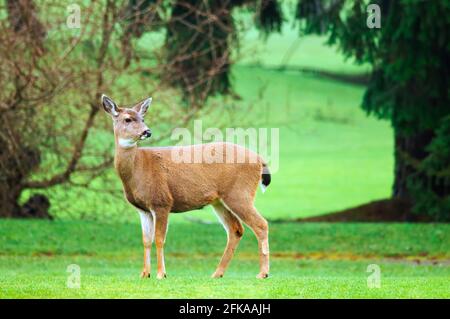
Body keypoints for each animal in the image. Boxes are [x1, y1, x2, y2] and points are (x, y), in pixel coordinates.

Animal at [102, 94, 270, 280]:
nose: (147, 131)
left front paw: (161, 274)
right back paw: (217, 273)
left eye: (143, 118)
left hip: (240, 193)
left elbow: (159, 238)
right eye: (128, 119)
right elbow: (146, 240)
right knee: (236, 230)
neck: (138, 168)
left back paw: (263, 273)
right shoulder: (143, 209)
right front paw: (145, 274)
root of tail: (260, 160)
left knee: (261, 224)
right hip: (220, 201)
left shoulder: (162, 201)